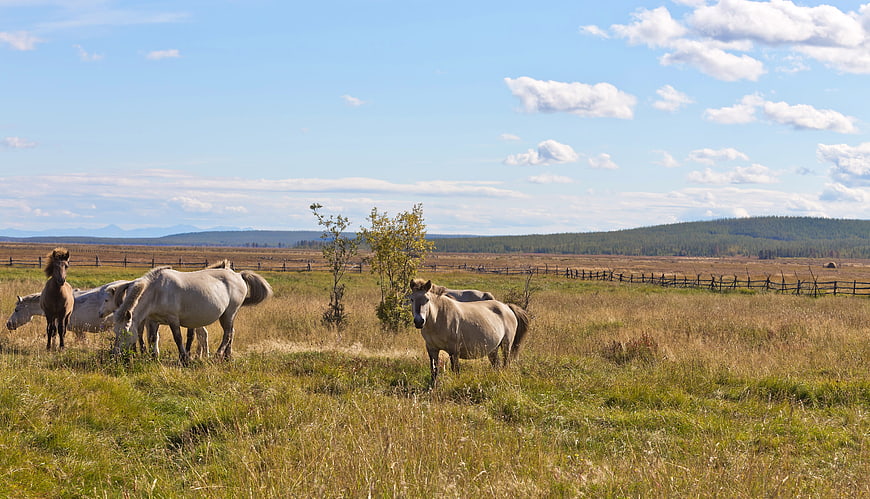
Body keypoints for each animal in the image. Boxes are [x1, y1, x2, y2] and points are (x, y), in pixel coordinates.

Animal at [112, 265, 273, 364]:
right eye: (115, 332)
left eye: (125, 332)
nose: (114, 354)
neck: (157, 291)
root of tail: (238, 275)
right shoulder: (153, 320)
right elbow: (152, 338)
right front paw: (152, 358)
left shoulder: (173, 319)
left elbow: (178, 338)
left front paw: (184, 358)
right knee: (231, 333)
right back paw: (227, 357)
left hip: (228, 314)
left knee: (227, 334)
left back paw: (217, 356)